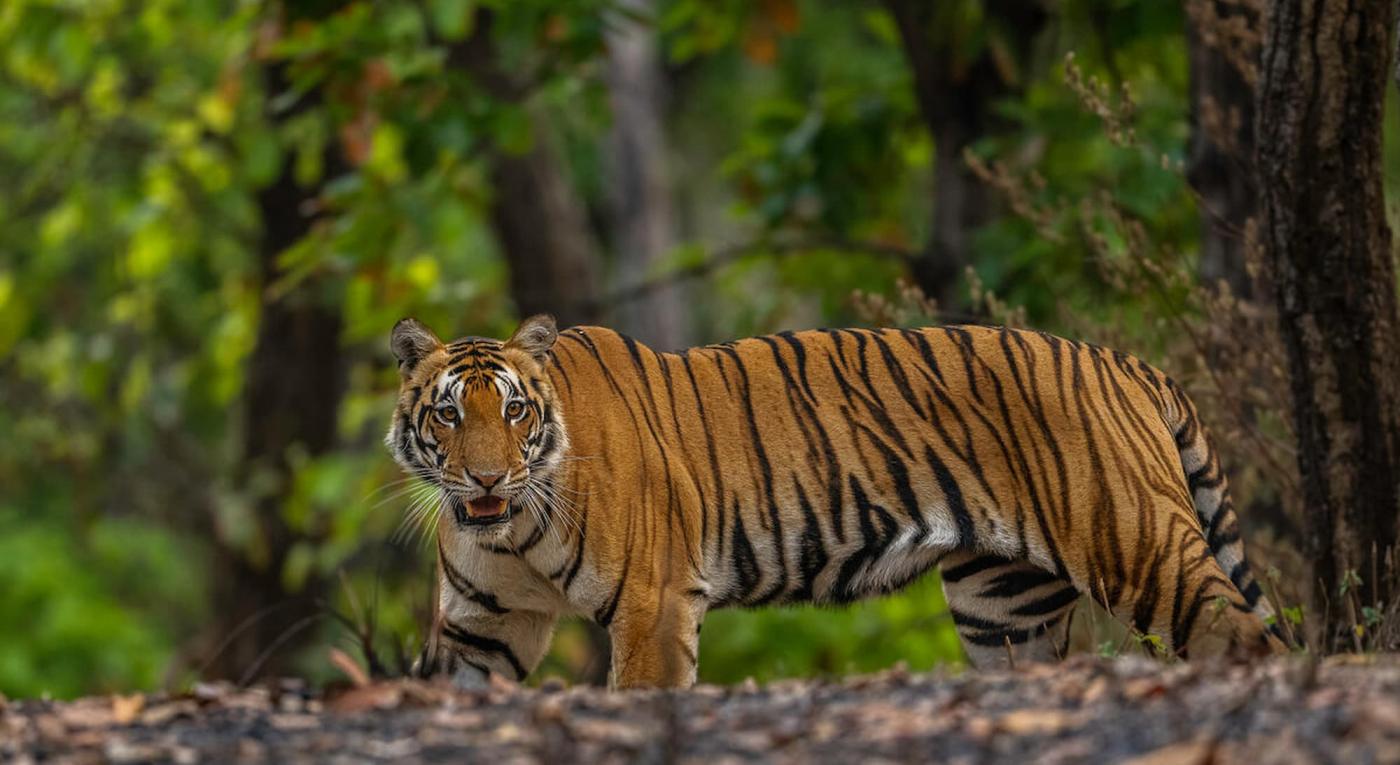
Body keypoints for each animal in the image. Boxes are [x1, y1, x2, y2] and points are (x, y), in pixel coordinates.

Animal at [389, 312, 1282, 686]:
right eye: (449, 413)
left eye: (515, 411)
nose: (487, 479)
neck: (510, 530)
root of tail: (1123, 362)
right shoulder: (482, 627)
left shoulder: (653, 602)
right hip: (1004, 607)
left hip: (1137, 546)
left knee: (1245, 635)